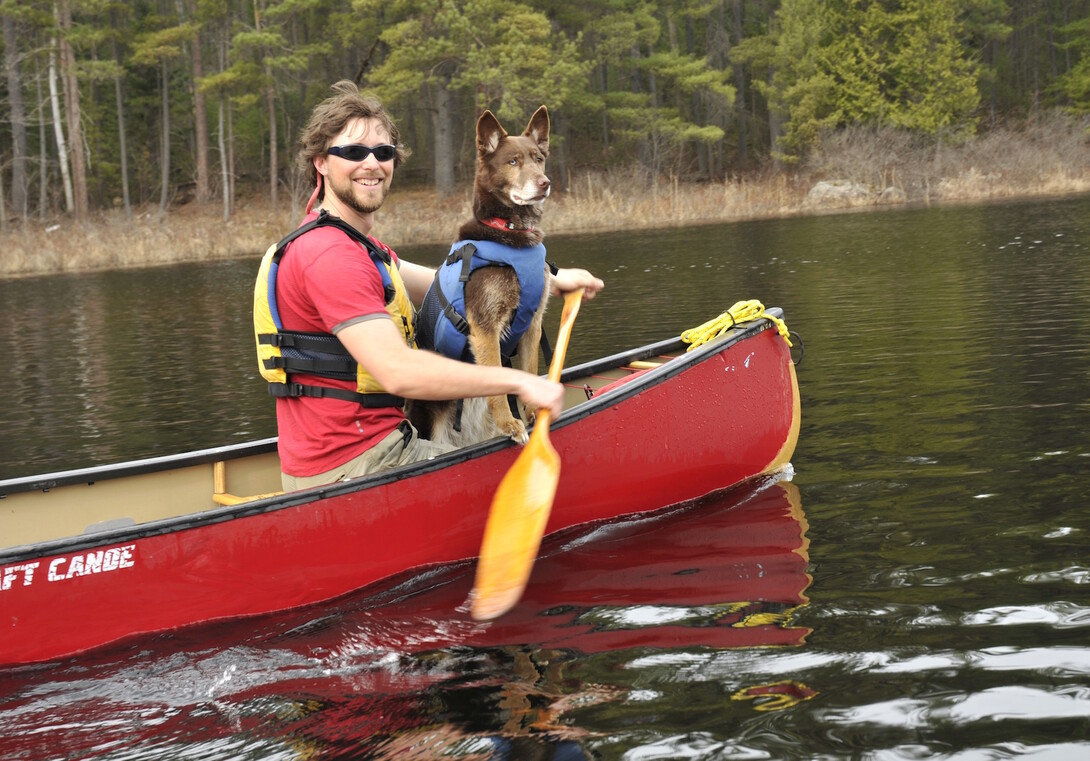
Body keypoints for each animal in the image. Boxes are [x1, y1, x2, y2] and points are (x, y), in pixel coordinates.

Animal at [412, 107, 558, 451]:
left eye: (538, 158)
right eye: (513, 161)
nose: (544, 183)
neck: (510, 233)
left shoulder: (532, 323)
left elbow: (529, 370)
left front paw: (533, 412)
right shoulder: (484, 327)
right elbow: (497, 385)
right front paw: (510, 423)